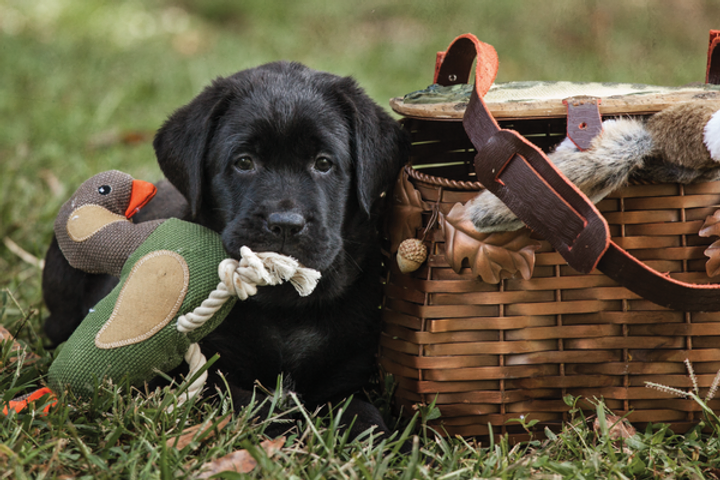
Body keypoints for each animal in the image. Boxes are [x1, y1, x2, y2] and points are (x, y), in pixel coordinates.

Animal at [42, 62, 408, 438]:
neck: (285, 309)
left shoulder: (352, 374)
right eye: (244, 162)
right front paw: (287, 421)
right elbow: (249, 404)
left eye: (323, 163)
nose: (285, 224)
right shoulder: (202, 374)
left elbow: (364, 414)